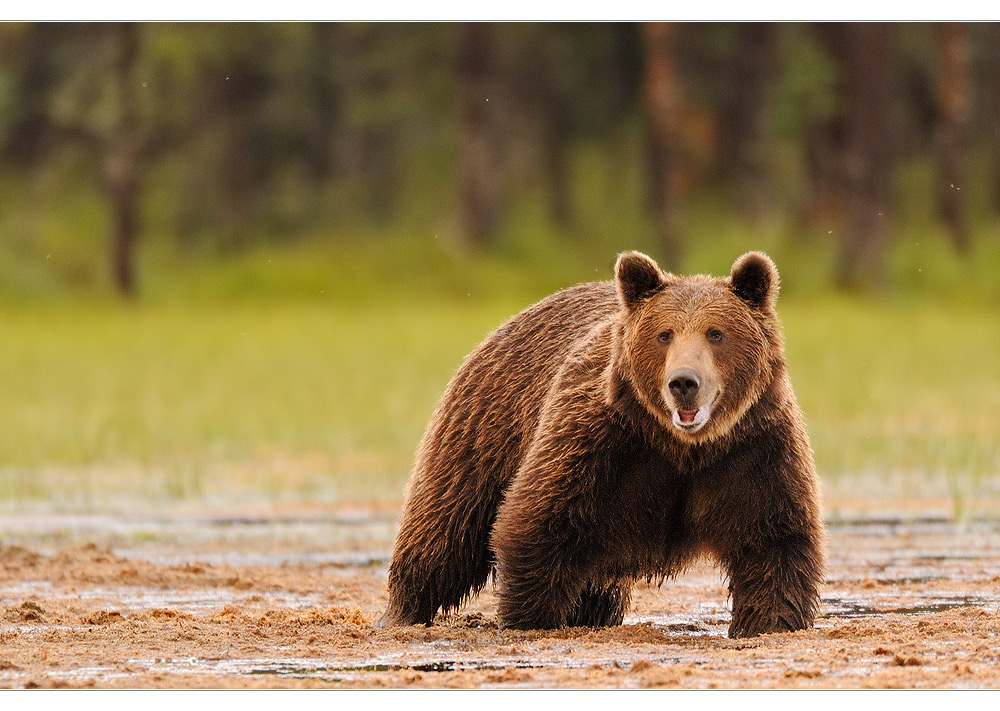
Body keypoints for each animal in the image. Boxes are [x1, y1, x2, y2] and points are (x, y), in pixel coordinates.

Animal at [378, 252, 824, 640]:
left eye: (716, 333)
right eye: (664, 334)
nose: (683, 382)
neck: (683, 446)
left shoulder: (754, 450)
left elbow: (774, 542)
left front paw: (769, 622)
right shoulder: (597, 441)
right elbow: (537, 526)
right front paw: (530, 619)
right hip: (484, 430)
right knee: (445, 528)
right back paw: (401, 612)